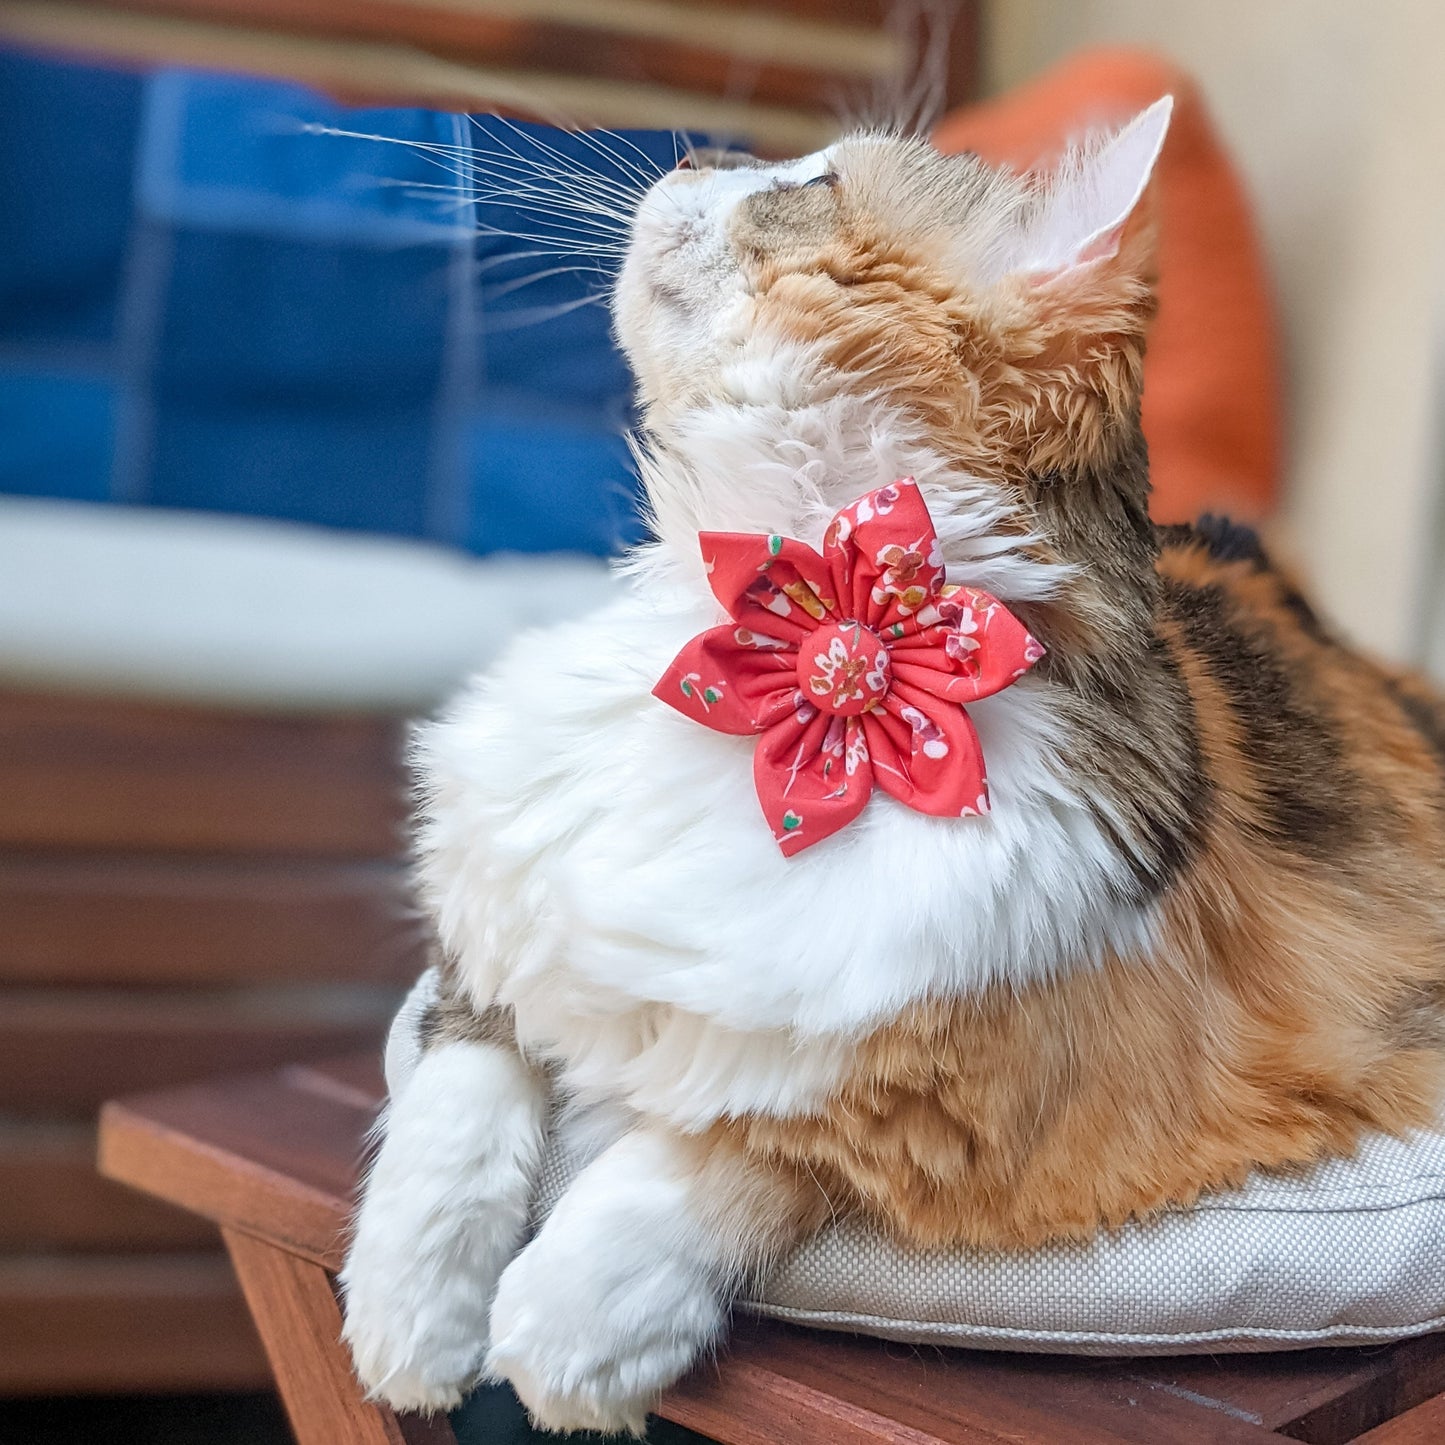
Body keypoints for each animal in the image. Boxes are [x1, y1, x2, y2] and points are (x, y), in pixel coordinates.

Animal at [338, 104, 1445, 1433]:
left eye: (811, 181)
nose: (695, 156)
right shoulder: (499, 928)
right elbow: (454, 1096)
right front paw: (409, 1314)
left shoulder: (976, 1089)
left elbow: (732, 1152)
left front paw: (569, 1327)